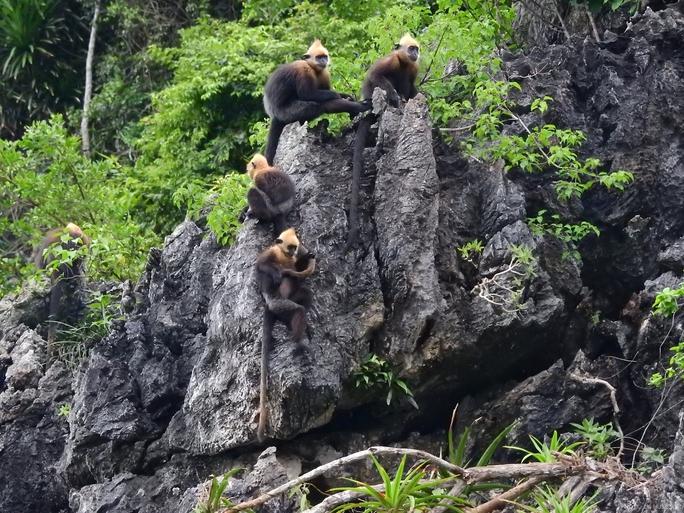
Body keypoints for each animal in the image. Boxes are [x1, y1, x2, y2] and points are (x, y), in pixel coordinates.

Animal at [255, 228, 316, 440]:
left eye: (294, 247)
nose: (292, 252)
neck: (284, 256)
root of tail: (269, 307)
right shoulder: (271, 252)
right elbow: (260, 264)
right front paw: (276, 273)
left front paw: (308, 256)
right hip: (278, 304)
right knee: (296, 309)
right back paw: (298, 341)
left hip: (291, 298)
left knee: (304, 296)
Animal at [350, 33, 420, 246]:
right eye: (411, 48)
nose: (416, 53)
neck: (404, 64)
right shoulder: (390, 61)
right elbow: (376, 76)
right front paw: (394, 96)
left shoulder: (413, 69)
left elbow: (411, 87)